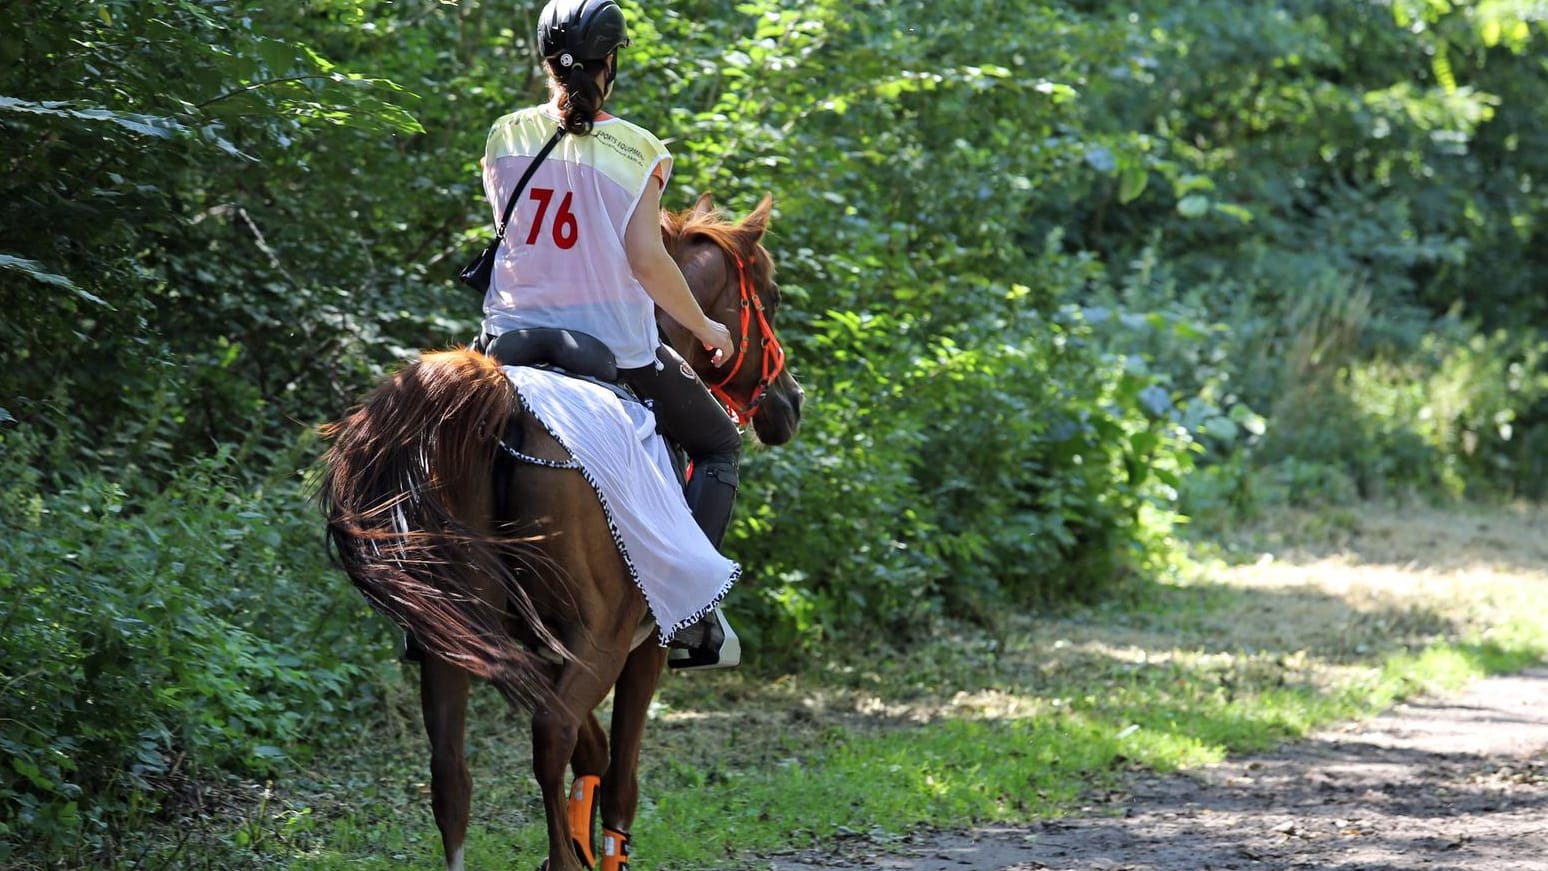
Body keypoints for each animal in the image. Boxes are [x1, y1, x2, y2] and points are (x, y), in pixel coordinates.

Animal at [314, 195, 798, 871]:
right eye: (770, 297)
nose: (790, 403)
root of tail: (501, 402)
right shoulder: (640, 647)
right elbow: (617, 773)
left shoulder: (532, 647)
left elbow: (591, 752)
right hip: (596, 637)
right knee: (550, 734)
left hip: (452, 637)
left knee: (452, 776)